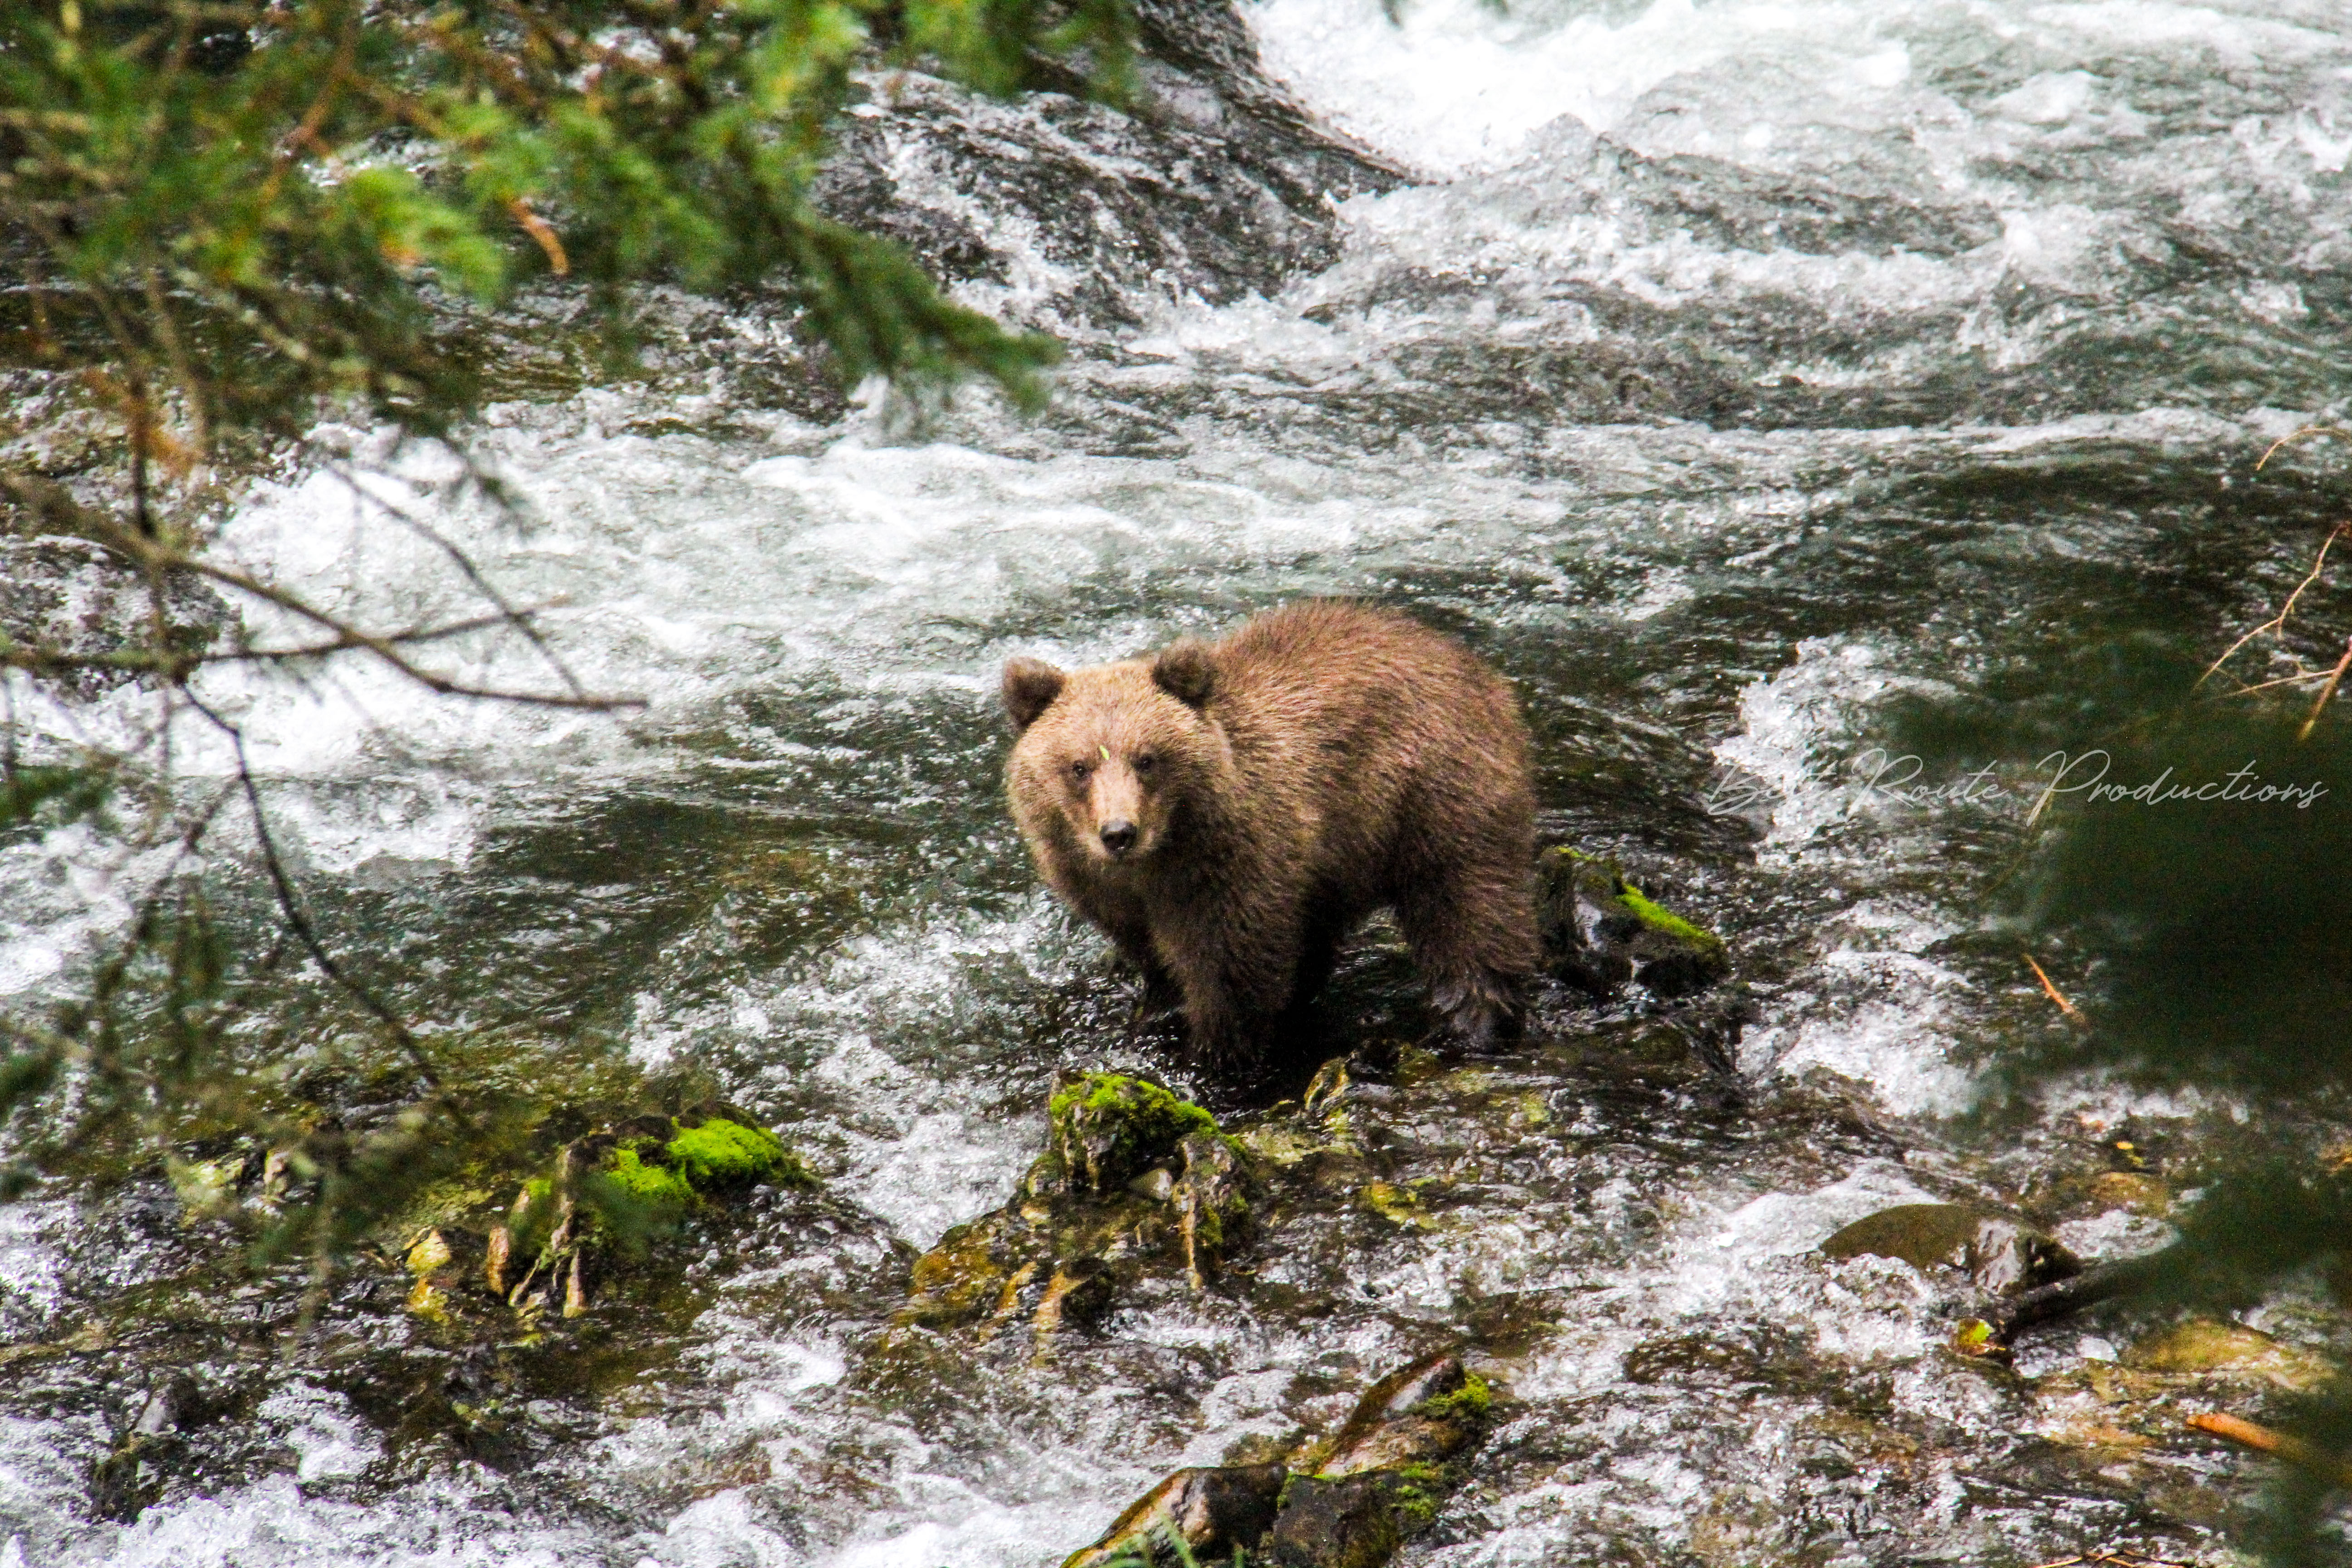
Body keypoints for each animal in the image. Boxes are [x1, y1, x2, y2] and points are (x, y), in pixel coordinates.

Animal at [1001, 600, 1537, 1075]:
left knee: (1467, 904)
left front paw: (1216, 1058)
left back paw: (1473, 1020)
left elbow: (1233, 967)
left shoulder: (1236, 859)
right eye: (1079, 766)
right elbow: (1151, 953)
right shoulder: (1101, 885)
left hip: (1434, 790)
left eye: (1147, 759)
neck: (1162, 856)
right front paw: (1158, 1011)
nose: (1119, 833)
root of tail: (1474, 666)